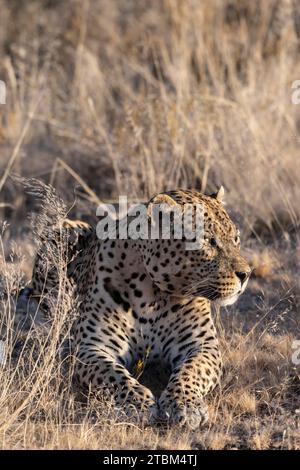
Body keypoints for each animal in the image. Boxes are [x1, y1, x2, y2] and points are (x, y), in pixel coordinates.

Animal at [20, 185, 251, 428]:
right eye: (208, 241)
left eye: (236, 239)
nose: (246, 274)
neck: (153, 296)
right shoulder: (92, 347)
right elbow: (114, 375)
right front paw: (136, 404)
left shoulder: (202, 346)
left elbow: (191, 371)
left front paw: (184, 405)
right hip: (68, 229)